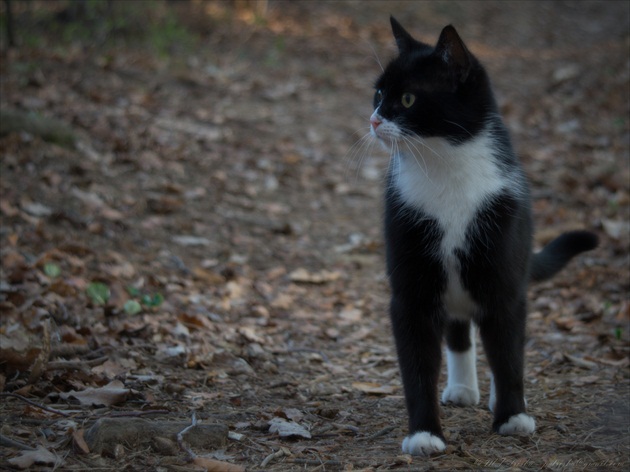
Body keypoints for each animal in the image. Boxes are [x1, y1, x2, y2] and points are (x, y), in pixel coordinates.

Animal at [372, 16, 600, 456]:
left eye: (407, 99)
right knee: (460, 330)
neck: (443, 169)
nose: (373, 120)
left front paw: (512, 416)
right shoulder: (410, 284)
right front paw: (424, 434)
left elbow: (508, 352)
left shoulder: (504, 273)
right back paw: (463, 388)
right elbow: (416, 363)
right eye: (377, 94)